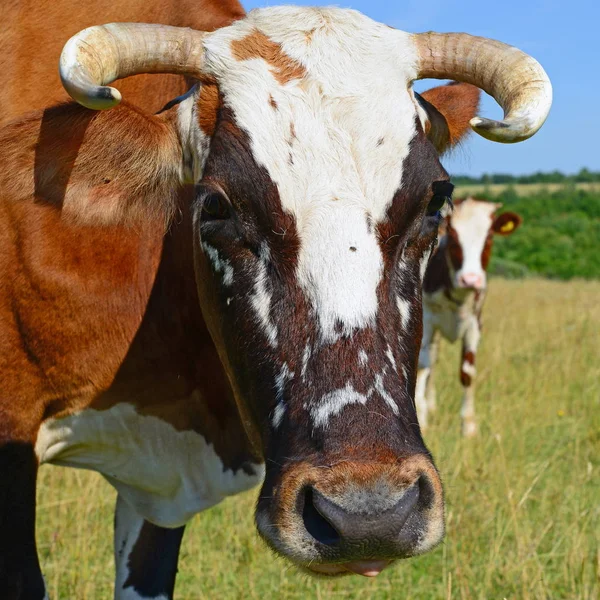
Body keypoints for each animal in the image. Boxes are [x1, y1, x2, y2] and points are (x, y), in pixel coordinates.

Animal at [418, 198, 520, 436]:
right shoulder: (427, 320)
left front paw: (469, 425)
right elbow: (422, 365)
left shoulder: (475, 323)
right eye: (454, 237)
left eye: (489, 237)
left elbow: (467, 372)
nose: (470, 279)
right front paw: (421, 417)